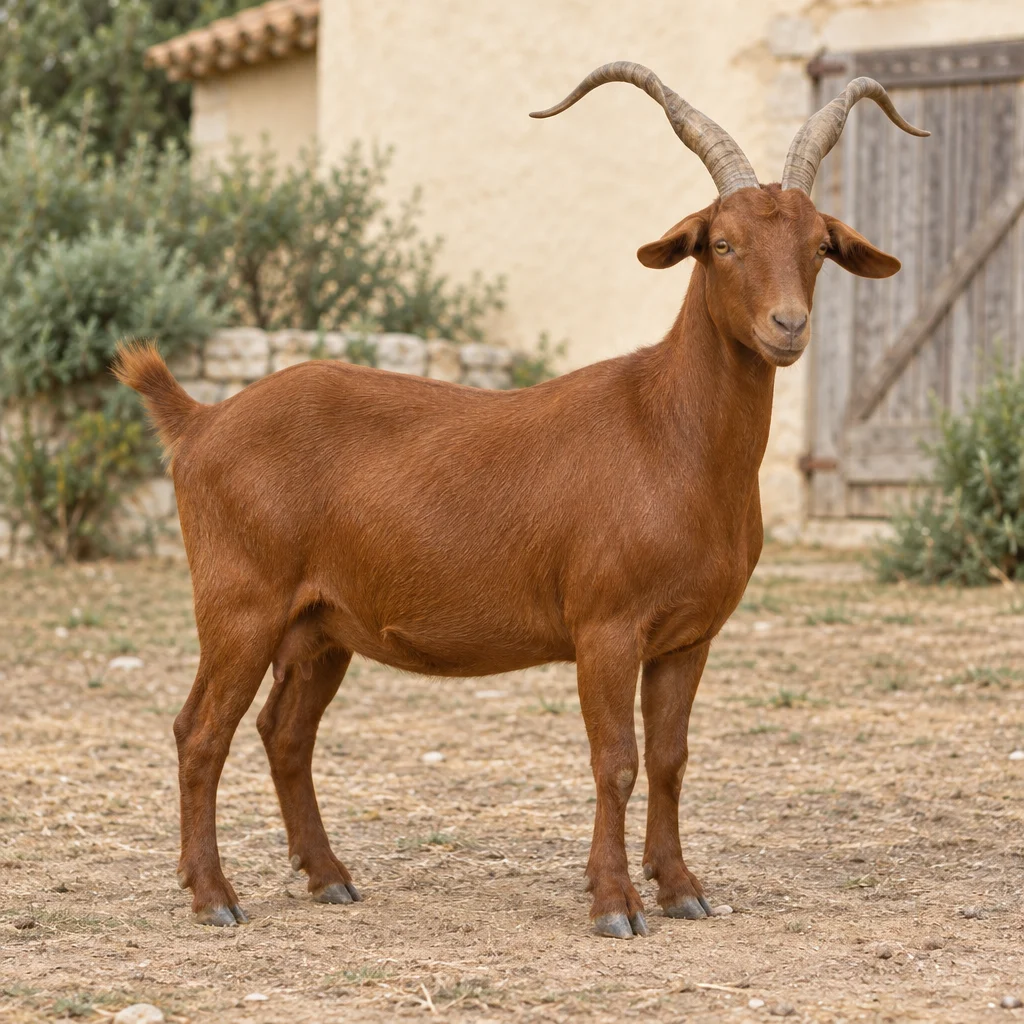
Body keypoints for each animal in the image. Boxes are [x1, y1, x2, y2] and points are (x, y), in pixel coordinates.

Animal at [115, 63, 927, 939]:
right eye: (722, 243)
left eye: (819, 247)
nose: (788, 326)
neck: (667, 433)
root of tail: (202, 421)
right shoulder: (606, 626)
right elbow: (616, 761)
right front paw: (614, 904)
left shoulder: (688, 637)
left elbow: (670, 759)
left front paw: (680, 888)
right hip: (241, 601)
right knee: (201, 731)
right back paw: (214, 897)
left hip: (320, 624)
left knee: (284, 732)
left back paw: (327, 875)